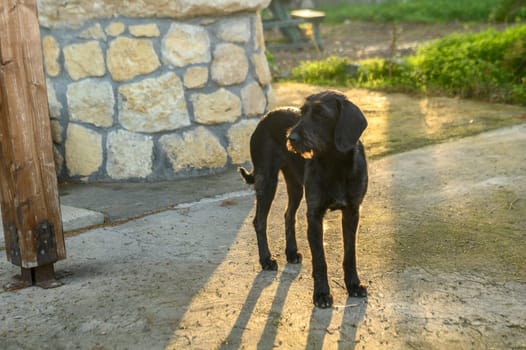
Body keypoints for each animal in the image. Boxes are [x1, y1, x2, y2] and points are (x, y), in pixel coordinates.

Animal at [241, 91, 370, 308]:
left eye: (320, 114)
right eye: (302, 113)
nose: (290, 138)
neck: (335, 164)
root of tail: (265, 117)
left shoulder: (352, 213)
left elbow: (350, 254)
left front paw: (353, 285)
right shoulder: (315, 215)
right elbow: (319, 260)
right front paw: (322, 294)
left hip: (295, 187)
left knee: (288, 215)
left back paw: (291, 252)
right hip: (266, 181)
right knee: (259, 221)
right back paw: (266, 259)